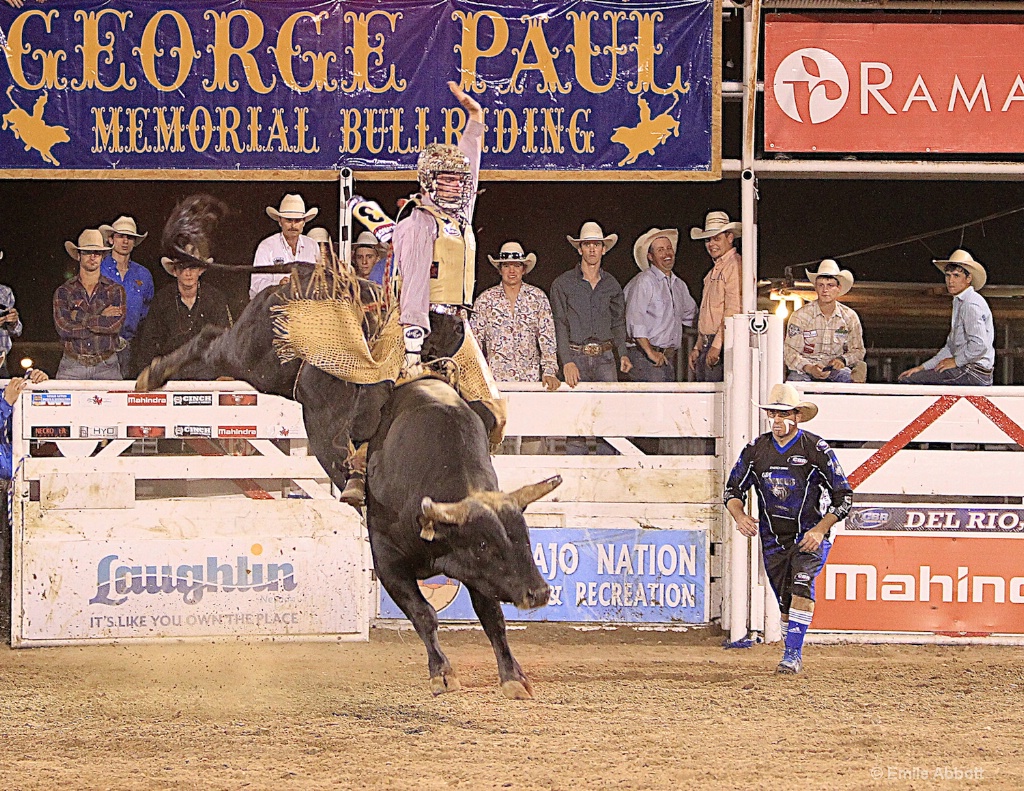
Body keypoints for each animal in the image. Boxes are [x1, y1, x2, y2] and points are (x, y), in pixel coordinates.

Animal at [138, 195, 561, 696]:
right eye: (483, 544)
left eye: (524, 536)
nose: (539, 592)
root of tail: (307, 271)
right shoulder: (388, 561)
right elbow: (425, 614)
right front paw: (442, 673)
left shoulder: (476, 574)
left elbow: (491, 615)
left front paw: (513, 677)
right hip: (256, 358)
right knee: (209, 342)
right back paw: (154, 372)